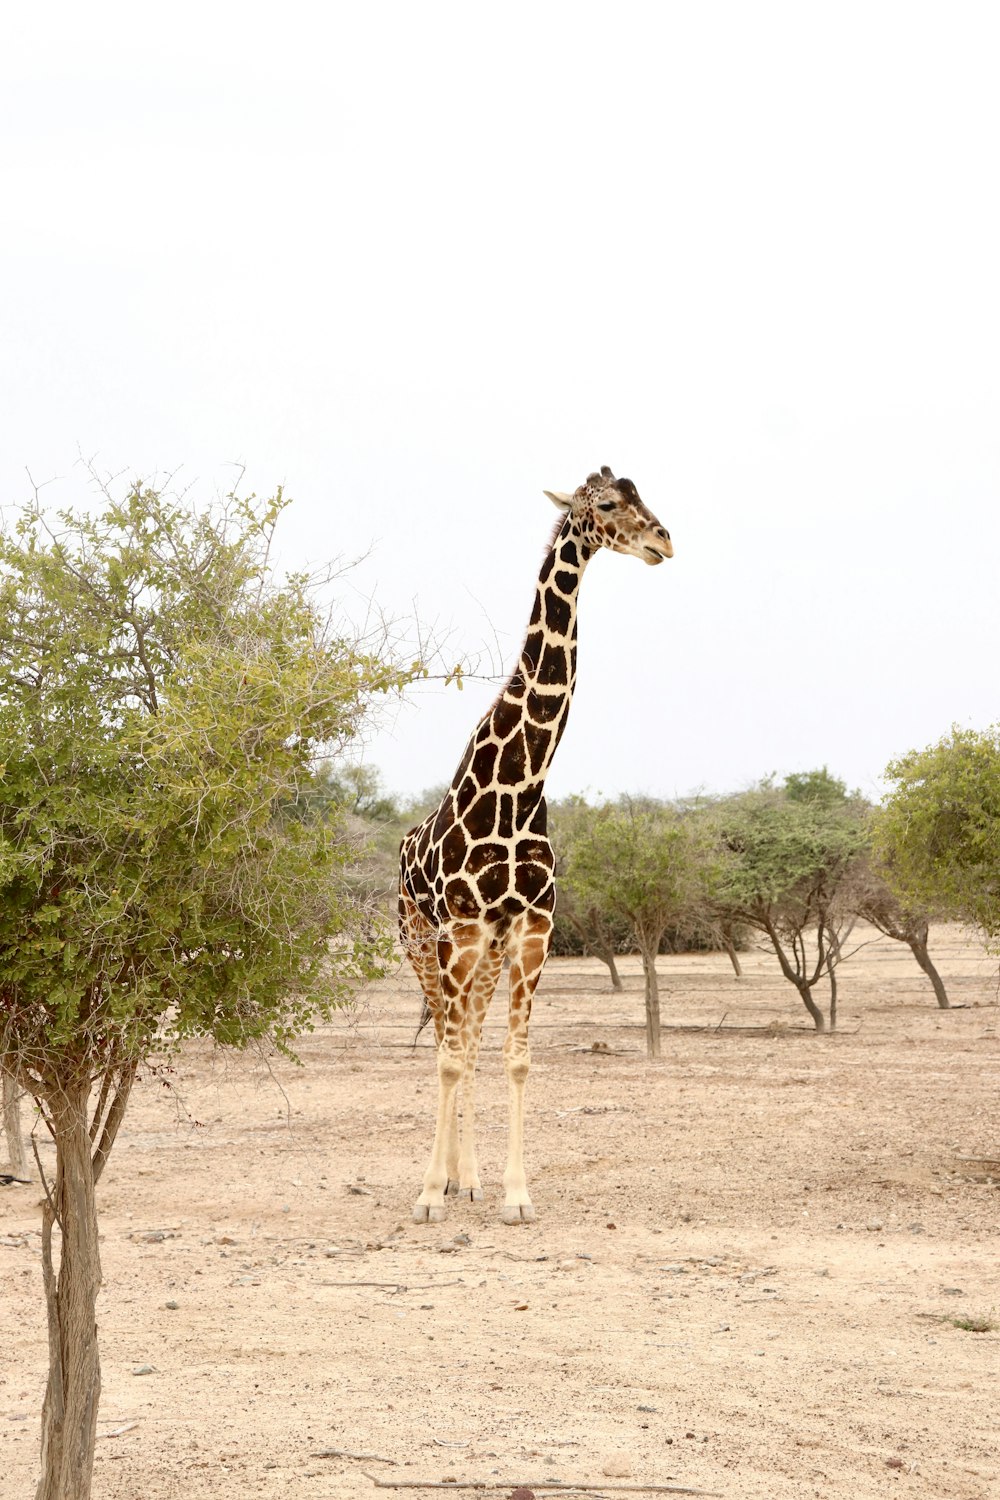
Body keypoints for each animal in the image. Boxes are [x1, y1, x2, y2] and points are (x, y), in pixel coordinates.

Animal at [398, 465, 671, 1218]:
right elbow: (448, 1056)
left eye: (641, 497)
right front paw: (427, 1195)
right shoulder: (458, 928)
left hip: (486, 952)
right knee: (446, 1037)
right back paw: (446, 1180)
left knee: (469, 1034)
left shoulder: (532, 926)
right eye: (606, 504)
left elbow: (513, 1057)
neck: (521, 785)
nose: (664, 540)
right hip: (419, 942)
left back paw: (468, 1177)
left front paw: (513, 1194)